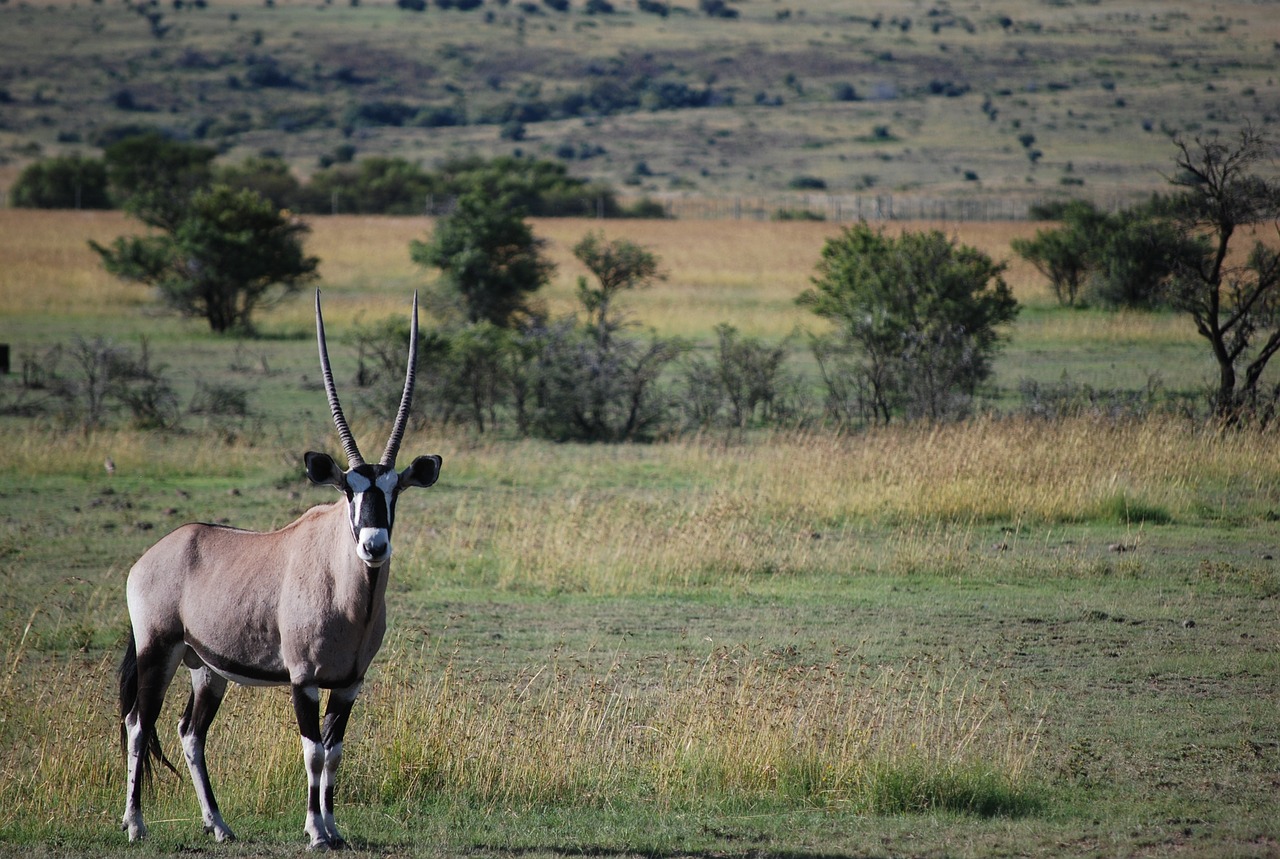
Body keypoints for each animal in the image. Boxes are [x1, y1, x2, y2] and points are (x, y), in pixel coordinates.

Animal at [120, 291, 440, 850]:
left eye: (395, 490)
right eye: (349, 488)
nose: (374, 545)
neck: (348, 595)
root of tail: (154, 555)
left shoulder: (349, 683)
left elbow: (335, 753)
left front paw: (334, 828)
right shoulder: (303, 680)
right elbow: (312, 751)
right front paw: (315, 832)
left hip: (205, 668)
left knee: (190, 732)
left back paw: (219, 825)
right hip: (157, 650)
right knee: (140, 723)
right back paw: (135, 824)